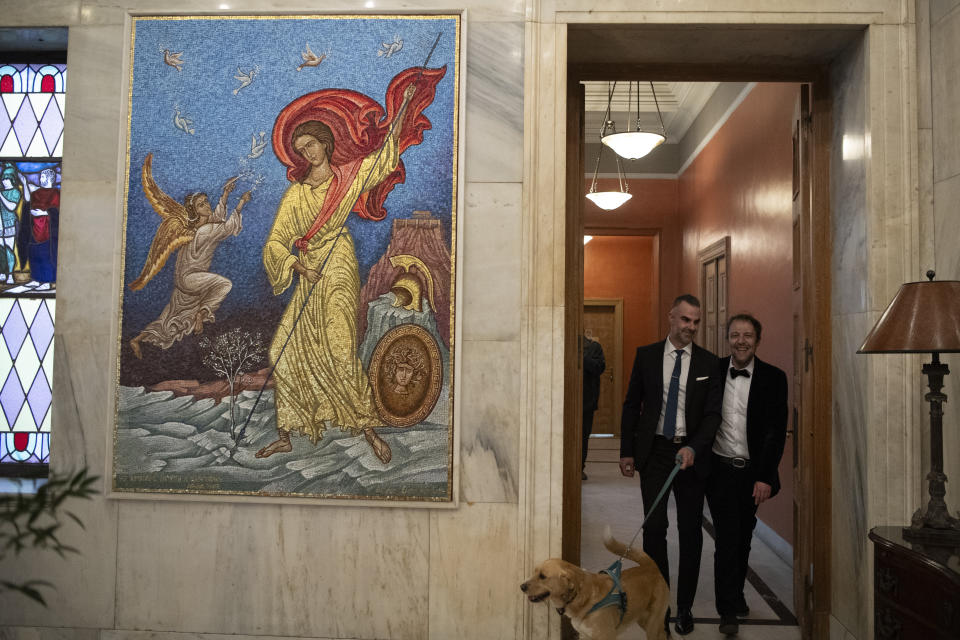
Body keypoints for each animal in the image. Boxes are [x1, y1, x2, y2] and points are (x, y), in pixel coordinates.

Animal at [520, 528, 672, 636]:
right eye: (534, 572)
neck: (582, 597)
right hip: (643, 619)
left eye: (543, 576)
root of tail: (651, 566)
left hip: (652, 624)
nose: (521, 586)